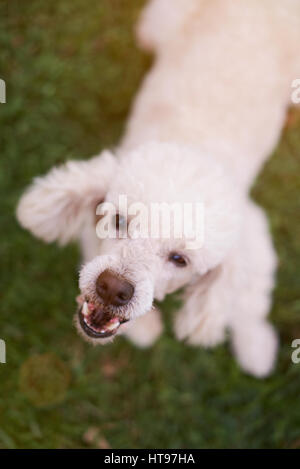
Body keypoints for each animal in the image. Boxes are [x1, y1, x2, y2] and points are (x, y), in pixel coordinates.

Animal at [16, 0, 300, 374]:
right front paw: (144, 330)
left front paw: (255, 346)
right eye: (119, 220)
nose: (112, 288)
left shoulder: (253, 232)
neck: (194, 144)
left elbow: (248, 296)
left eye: (179, 259)